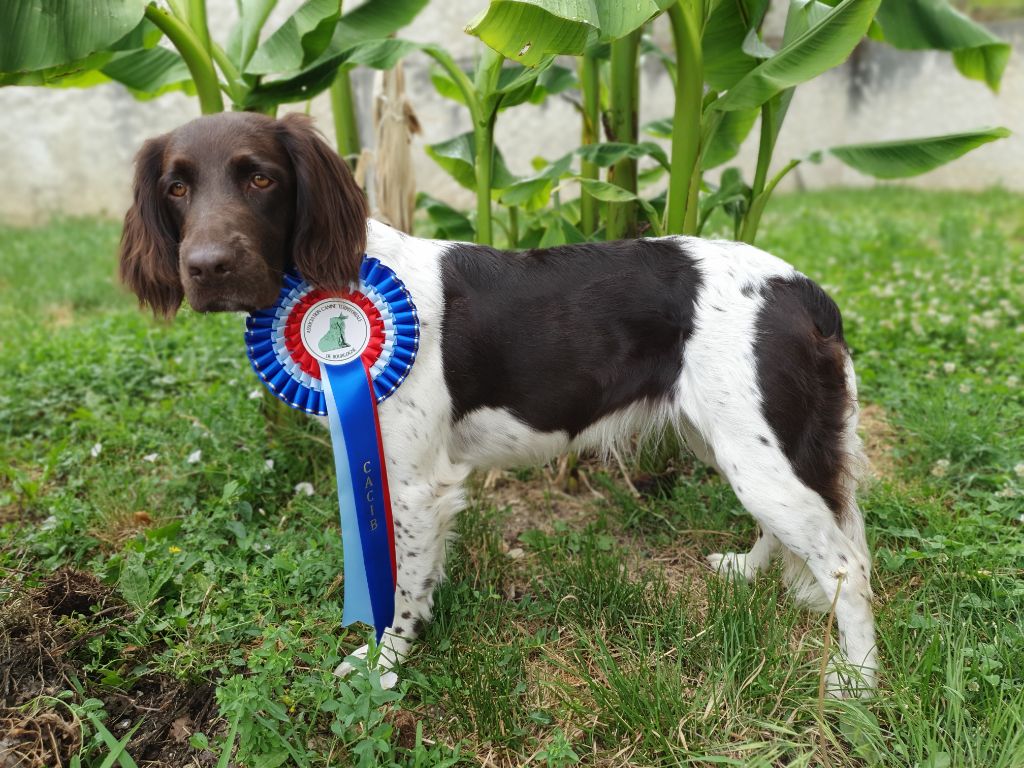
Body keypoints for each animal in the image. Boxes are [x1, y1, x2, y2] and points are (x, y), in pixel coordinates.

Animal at [117, 111, 872, 696]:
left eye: (261, 179)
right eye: (177, 187)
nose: (208, 267)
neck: (337, 277)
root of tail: (804, 290)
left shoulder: (417, 484)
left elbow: (403, 586)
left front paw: (385, 666)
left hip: (760, 450)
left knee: (848, 565)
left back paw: (858, 685)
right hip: (735, 442)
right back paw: (748, 572)